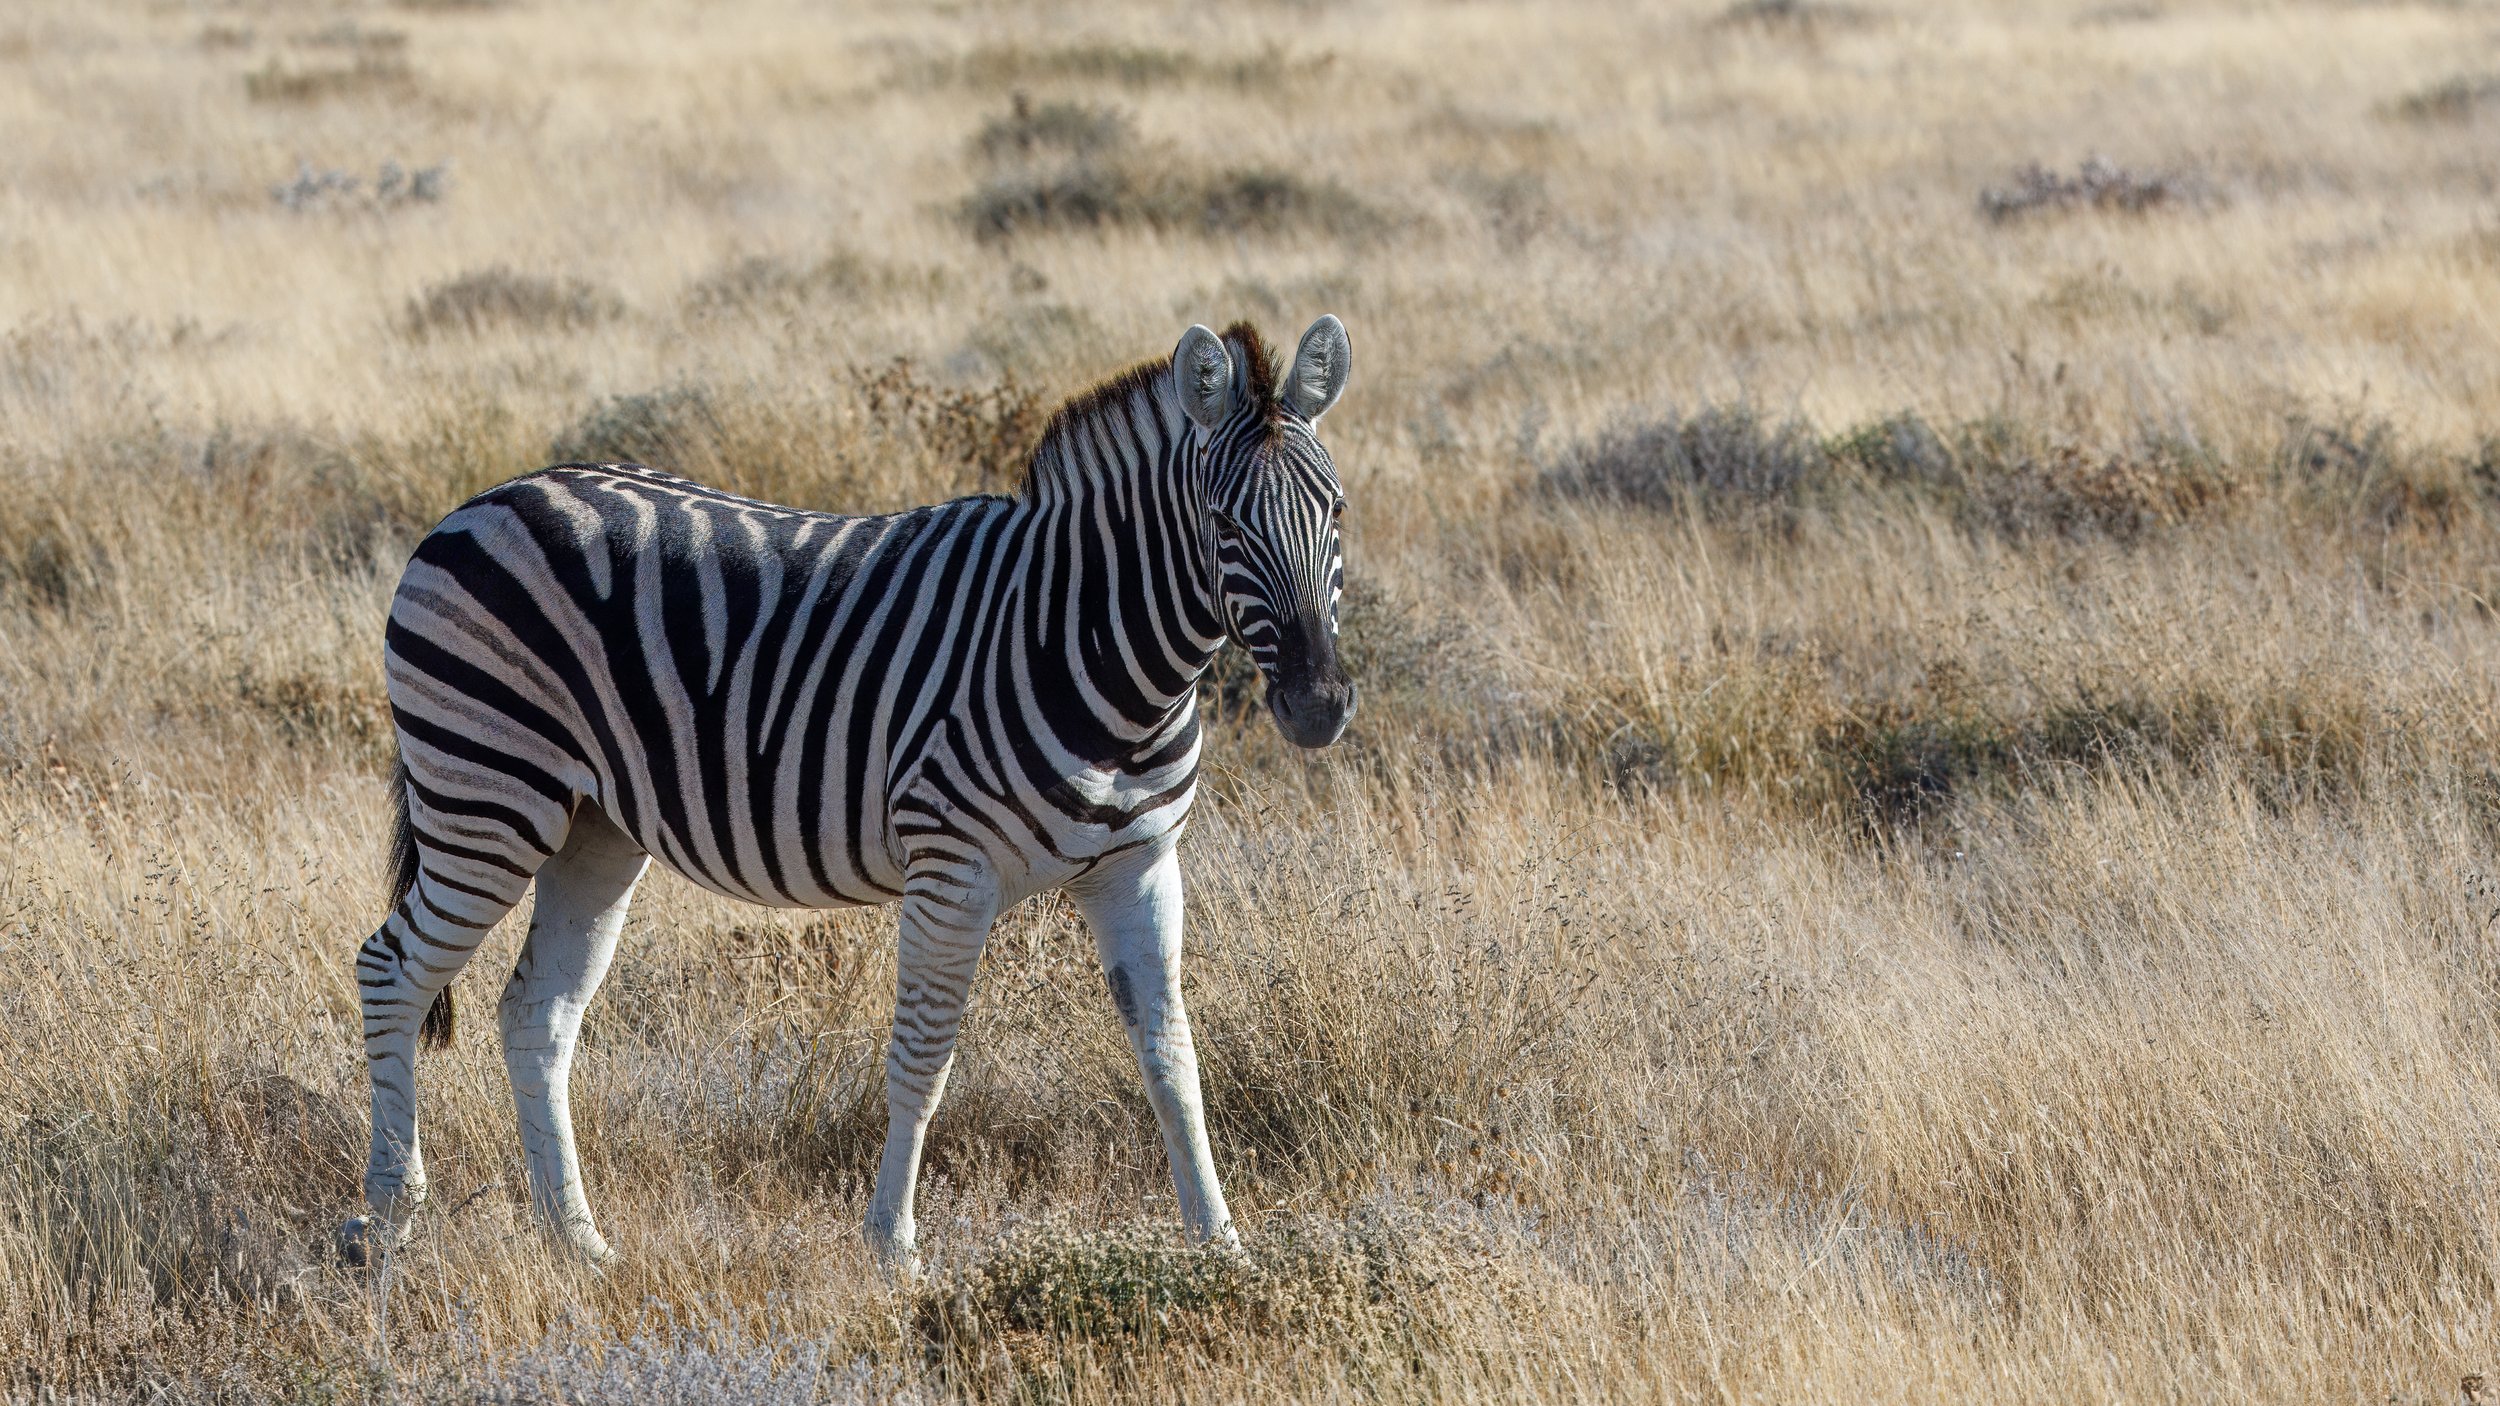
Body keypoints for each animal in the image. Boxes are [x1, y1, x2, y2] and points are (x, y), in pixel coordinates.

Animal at [342, 315, 1356, 1272]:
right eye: (1225, 525)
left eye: (1339, 512)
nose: (1319, 706)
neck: (1097, 655)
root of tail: (485, 500)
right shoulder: (951, 870)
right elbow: (924, 1058)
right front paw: (892, 1246)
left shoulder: (1138, 863)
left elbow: (1172, 1057)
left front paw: (1220, 1244)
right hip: (486, 790)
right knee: (390, 968)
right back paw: (389, 1218)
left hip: (593, 828)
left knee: (537, 1014)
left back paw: (576, 1241)